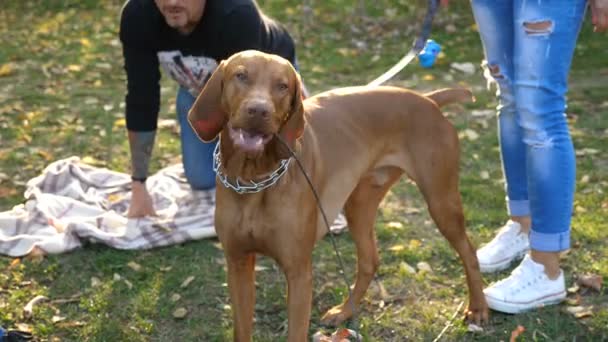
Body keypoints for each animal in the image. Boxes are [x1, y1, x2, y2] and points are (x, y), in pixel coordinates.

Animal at [188, 51, 486, 342]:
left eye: (282, 86)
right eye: (241, 75)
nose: (259, 111)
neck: (254, 178)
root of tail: (428, 99)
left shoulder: (298, 273)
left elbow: (296, 331)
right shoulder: (238, 264)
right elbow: (242, 329)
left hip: (441, 200)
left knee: (469, 251)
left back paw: (478, 309)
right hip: (358, 204)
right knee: (369, 261)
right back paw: (345, 311)